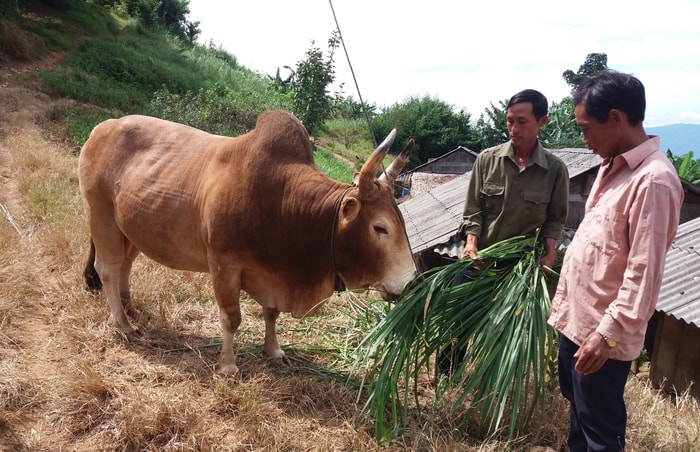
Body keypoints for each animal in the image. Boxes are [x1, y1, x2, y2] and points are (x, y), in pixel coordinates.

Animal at [78, 108, 416, 374]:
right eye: (380, 227)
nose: (412, 281)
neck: (283, 202)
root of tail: (103, 126)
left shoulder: (273, 275)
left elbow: (271, 313)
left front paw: (274, 352)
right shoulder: (224, 265)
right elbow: (231, 318)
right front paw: (227, 366)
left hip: (130, 228)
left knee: (125, 265)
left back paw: (128, 307)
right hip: (101, 215)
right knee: (107, 268)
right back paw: (124, 326)